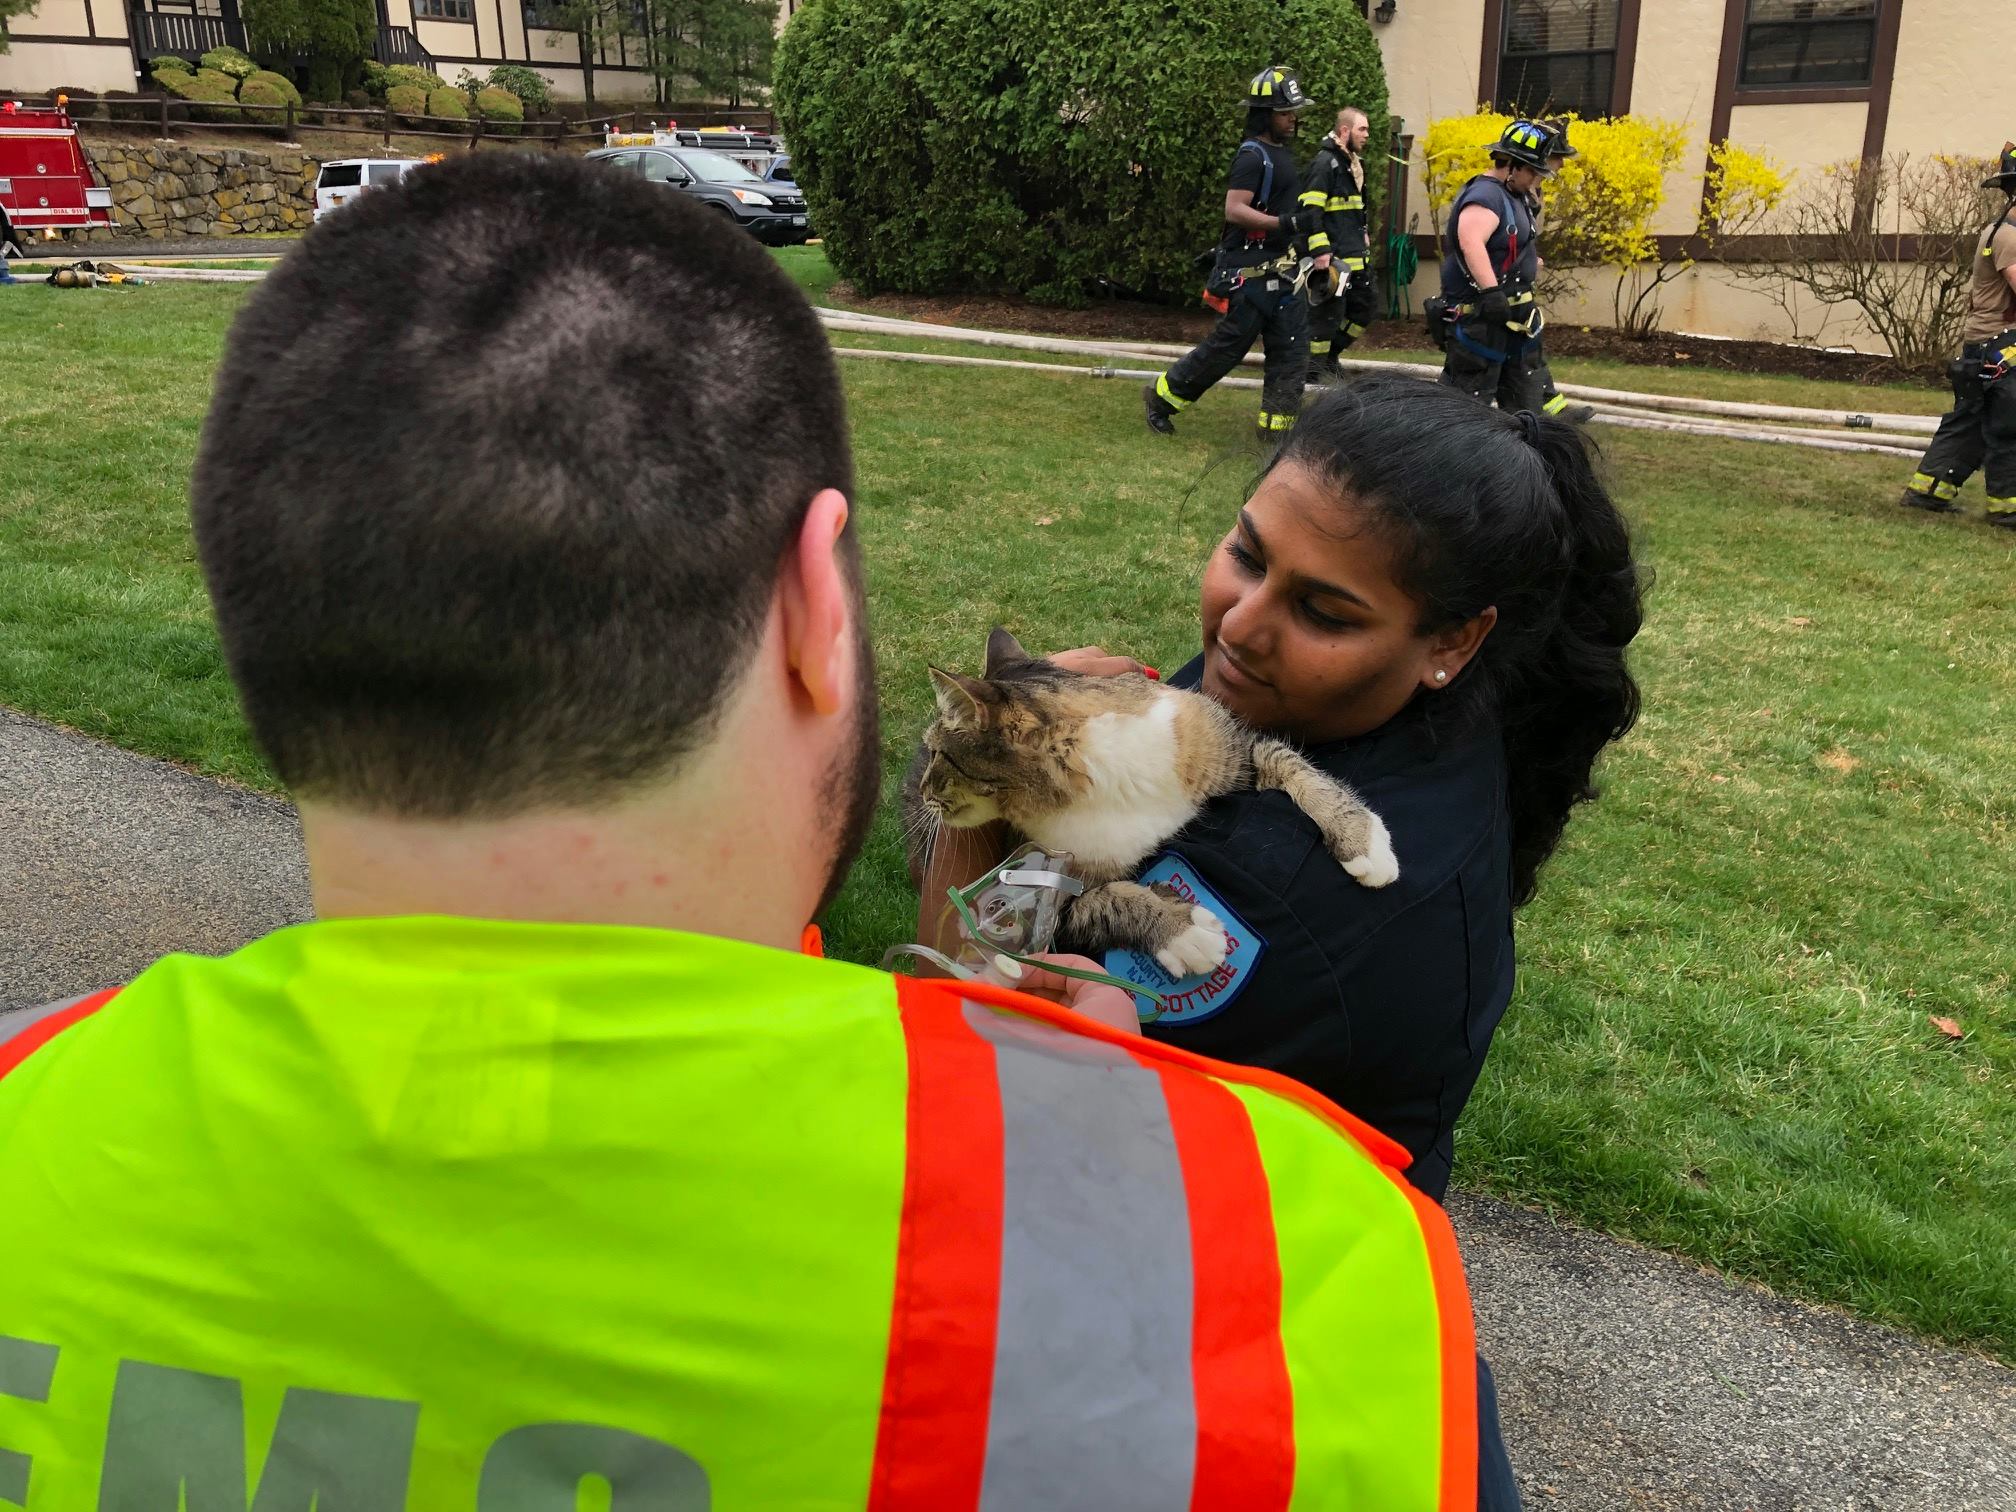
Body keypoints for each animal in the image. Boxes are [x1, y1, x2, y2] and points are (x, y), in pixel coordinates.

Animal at [907, 633, 1395, 975]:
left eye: (938, 753)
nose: (925, 791)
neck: (1113, 776)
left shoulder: (1228, 748)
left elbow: (1290, 762)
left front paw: (1363, 842)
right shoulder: (1034, 895)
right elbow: (1107, 902)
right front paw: (1182, 931)